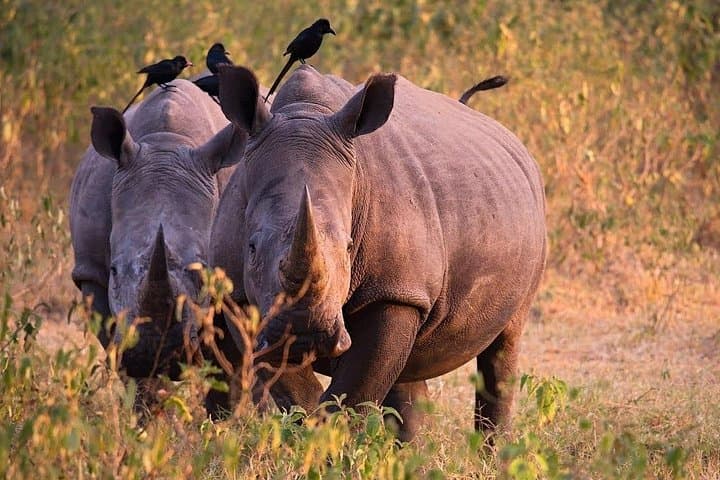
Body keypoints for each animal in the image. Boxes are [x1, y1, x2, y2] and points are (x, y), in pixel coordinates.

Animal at [208, 66, 546, 440]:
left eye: (348, 247)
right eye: (251, 248)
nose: (305, 331)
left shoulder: (393, 291)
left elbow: (354, 393)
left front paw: (326, 441)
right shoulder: (238, 296)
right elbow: (292, 390)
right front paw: (309, 430)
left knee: (504, 344)